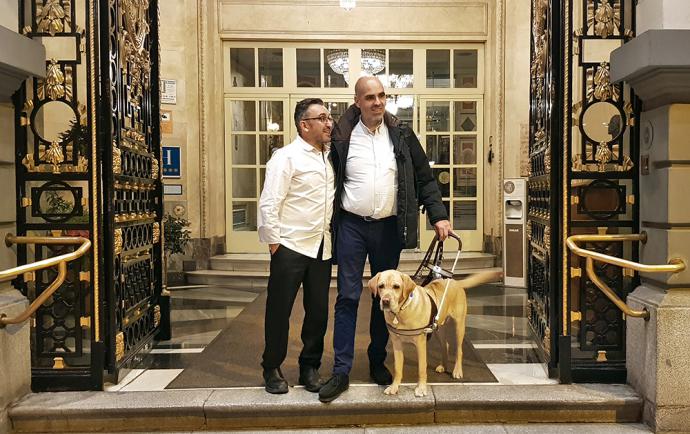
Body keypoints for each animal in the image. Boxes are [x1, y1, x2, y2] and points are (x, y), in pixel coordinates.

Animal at [366, 270, 500, 398]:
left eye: (396, 287)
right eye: (381, 286)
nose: (385, 301)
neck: (401, 311)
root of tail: (455, 282)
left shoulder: (420, 343)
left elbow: (421, 368)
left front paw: (421, 388)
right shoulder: (396, 343)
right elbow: (398, 368)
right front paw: (394, 387)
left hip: (459, 325)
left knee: (459, 350)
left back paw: (457, 371)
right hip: (438, 328)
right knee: (446, 345)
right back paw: (443, 366)